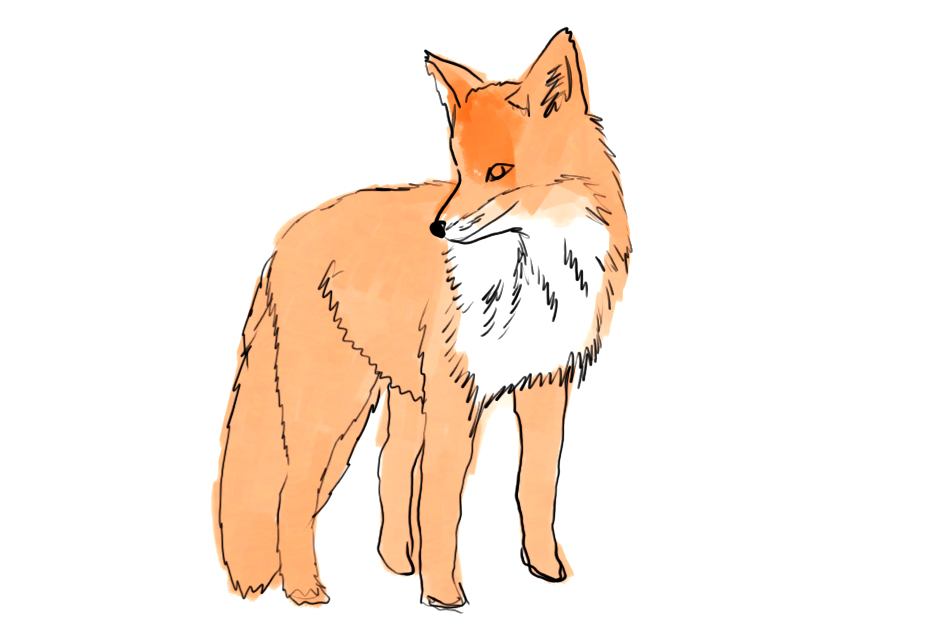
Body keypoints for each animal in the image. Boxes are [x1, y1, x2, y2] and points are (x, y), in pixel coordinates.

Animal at [213, 27, 631, 609]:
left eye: (498, 172)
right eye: (458, 170)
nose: (439, 228)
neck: (532, 274)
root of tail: (284, 239)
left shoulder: (546, 385)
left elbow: (536, 486)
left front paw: (546, 569)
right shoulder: (457, 394)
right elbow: (441, 504)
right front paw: (444, 594)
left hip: (402, 393)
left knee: (388, 466)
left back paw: (396, 564)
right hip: (331, 405)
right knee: (293, 494)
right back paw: (305, 588)